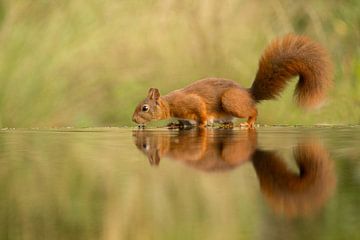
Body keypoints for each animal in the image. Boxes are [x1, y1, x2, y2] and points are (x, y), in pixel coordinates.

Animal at [132, 34, 332, 128]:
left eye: (145, 108)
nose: (134, 120)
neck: (170, 105)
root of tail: (249, 93)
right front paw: (172, 124)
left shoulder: (192, 103)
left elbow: (201, 112)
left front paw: (203, 124)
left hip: (231, 101)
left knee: (254, 110)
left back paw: (248, 123)